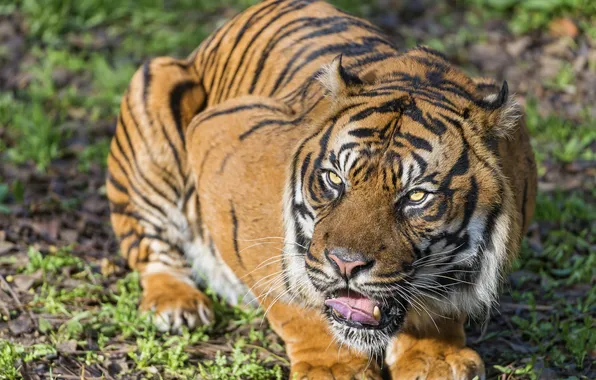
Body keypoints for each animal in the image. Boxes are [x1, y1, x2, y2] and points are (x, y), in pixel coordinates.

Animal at [105, 0, 536, 378]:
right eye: (334, 180)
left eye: (416, 196)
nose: (346, 264)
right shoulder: (222, 143)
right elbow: (293, 297)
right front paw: (333, 366)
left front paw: (435, 357)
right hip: (154, 96)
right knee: (149, 246)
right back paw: (177, 304)